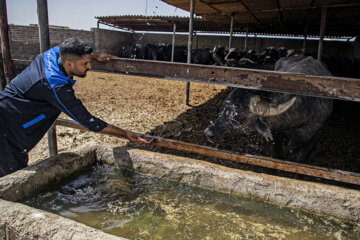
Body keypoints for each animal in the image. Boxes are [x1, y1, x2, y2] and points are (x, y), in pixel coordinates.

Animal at [204, 54, 334, 161]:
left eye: (240, 116)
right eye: (223, 108)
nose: (209, 133)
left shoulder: (316, 136)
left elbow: (301, 158)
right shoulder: (276, 132)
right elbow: (276, 154)